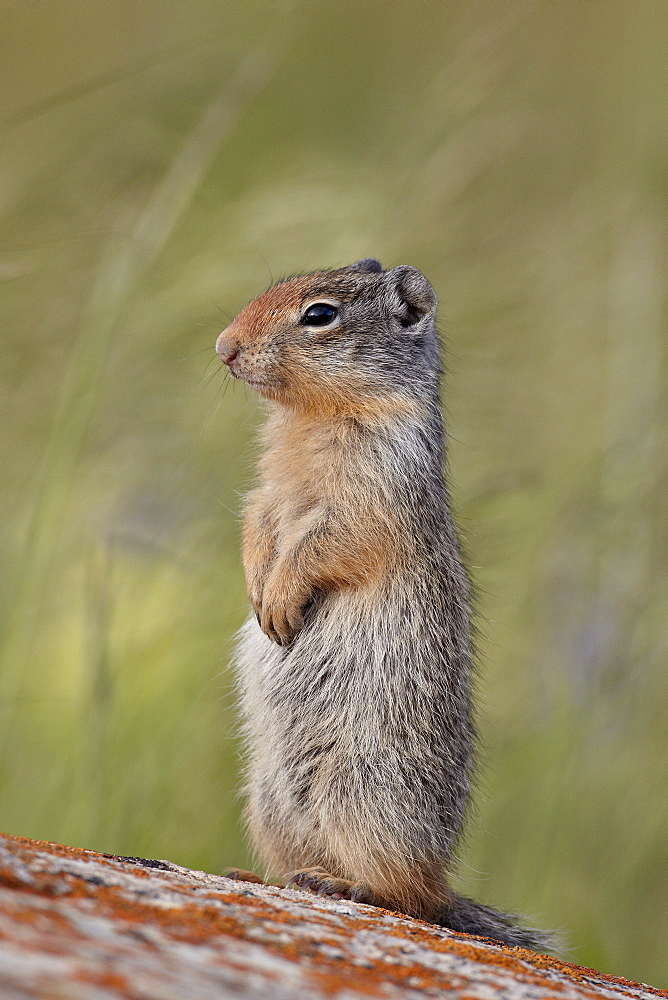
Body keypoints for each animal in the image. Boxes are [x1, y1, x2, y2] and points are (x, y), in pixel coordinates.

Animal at [217, 256, 552, 944]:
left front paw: (280, 601)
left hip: (363, 797)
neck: (311, 417)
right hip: (270, 803)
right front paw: (258, 589)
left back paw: (349, 885)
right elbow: (257, 521)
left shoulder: (374, 492)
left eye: (319, 314)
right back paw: (261, 876)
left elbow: (329, 542)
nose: (223, 348)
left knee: (409, 898)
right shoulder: (266, 490)